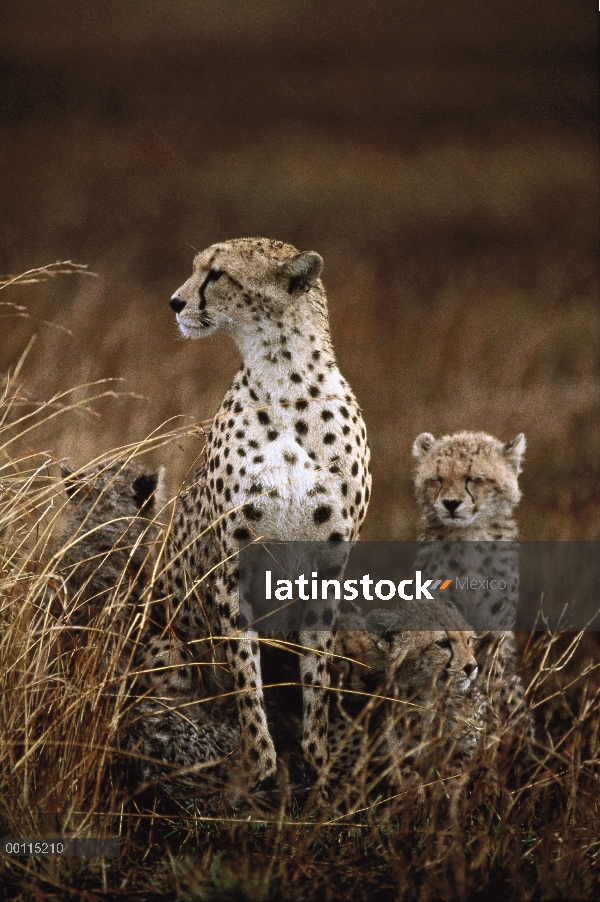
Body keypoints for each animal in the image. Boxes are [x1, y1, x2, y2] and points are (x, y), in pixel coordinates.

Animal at [165, 238, 370, 784]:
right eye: (196, 268)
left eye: (216, 274)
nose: (175, 302)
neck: (285, 379)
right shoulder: (231, 569)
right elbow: (244, 676)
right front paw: (260, 765)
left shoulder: (328, 570)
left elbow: (317, 680)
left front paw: (316, 764)